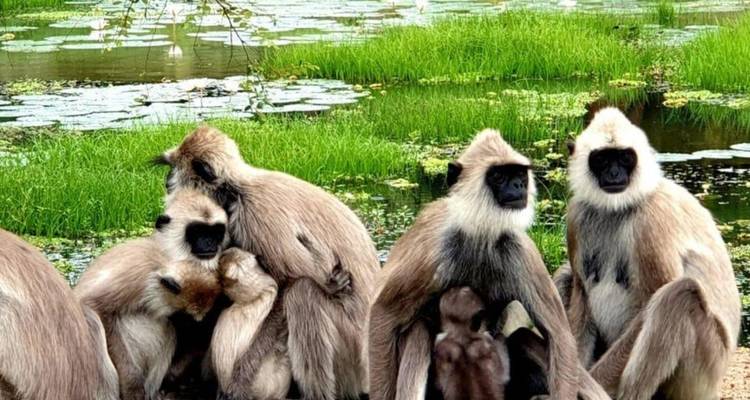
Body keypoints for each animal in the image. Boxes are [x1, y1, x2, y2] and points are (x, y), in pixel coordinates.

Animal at [155, 126, 379, 400]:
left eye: (174, 168)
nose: (167, 180)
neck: (237, 189)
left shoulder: (255, 215)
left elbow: (287, 284)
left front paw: (239, 380)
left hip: (352, 351)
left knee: (302, 293)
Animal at [368, 129, 598, 400]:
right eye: (498, 176)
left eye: (518, 174)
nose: (519, 185)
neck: (481, 233)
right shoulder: (434, 248)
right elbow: (382, 315)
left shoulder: (518, 249)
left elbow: (559, 337)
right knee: (419, 330)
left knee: (523, 336)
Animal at [561, 107, 741, 400]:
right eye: (602, 159)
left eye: (625, 158)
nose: (614, 174)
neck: (617, 207)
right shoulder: (576, 216)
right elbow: (581, 291)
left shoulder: (651, 220)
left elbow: (651, 299)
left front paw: (587, 385)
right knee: (566, 274)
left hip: (706, 369)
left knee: (679, 295)